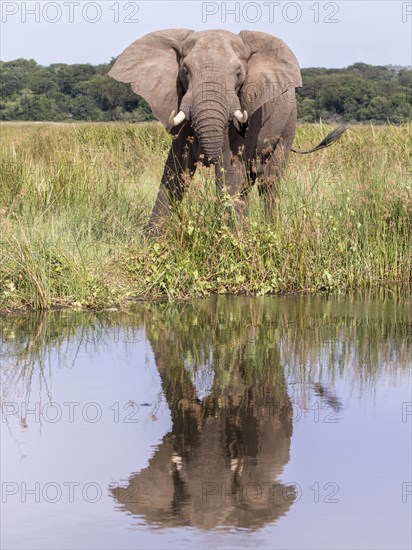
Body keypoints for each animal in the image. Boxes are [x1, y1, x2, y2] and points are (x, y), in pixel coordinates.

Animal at [108, 30, 344, 229]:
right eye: (185, 71)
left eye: (239, 73)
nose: (205, 158)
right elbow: (175, 169)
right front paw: (152, 240)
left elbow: (229, 168)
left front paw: (231, 240)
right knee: (249, 181)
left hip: (288, 125)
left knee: (269, 181)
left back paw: (270, 229)